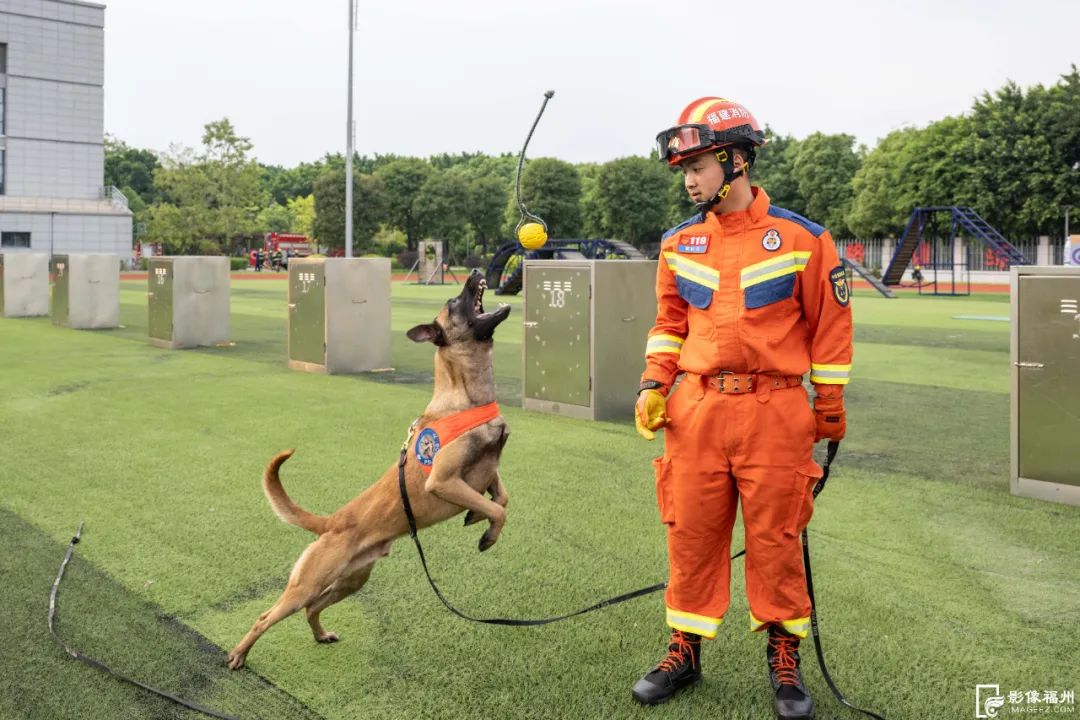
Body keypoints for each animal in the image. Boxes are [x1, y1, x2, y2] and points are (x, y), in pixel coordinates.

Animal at [225, 269, 511, 669]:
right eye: (454, 302)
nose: (473, 272)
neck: (466, 398)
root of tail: (332, 522)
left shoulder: (488, 467)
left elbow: (501, 495)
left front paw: (476, 515)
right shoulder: (443, 481)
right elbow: (498, 509)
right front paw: (488, 533)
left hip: (352, 580)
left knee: (312, 608)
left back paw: (320, 635)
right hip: (308, 583)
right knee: (268, 615)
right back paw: (239, 653)